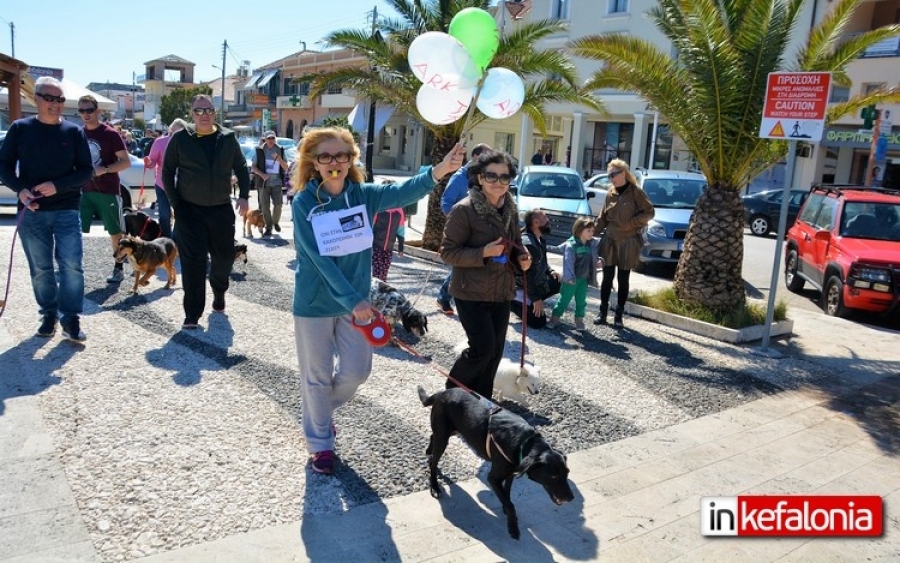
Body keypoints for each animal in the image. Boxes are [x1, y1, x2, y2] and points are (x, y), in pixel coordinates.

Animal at [418, 386, 572, 540]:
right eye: (553, 476)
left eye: (567, 473)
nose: (571, 498)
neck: (525, 443)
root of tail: (442, 392)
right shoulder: (493, 478)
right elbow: (510, 504)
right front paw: (513, 528)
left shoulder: (512, 472)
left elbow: (507, 494)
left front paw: (506, 509)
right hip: (443, 436)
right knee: (433, 461)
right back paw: (435, 486)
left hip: (452, 431)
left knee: (432, 437)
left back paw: (428, 450)